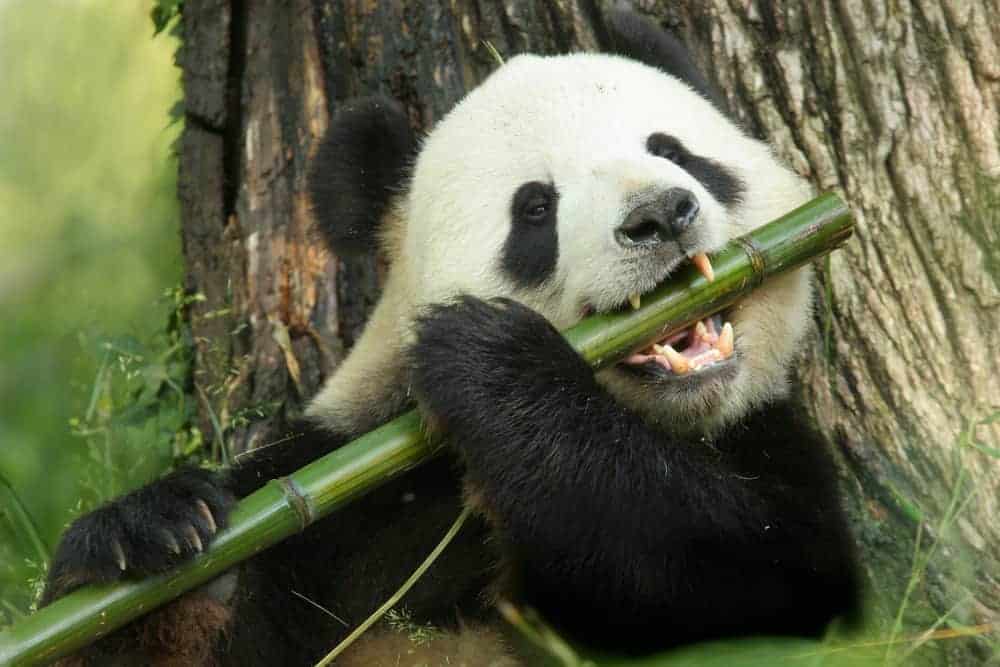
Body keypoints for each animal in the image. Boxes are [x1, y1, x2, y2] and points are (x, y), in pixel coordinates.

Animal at [41, 9, 858, 666]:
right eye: (535, 208)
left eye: (675, 151)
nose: (659, 214)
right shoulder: (345, 495)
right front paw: (148, 538)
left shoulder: (768, 440)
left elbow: (751, 576)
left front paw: (492, 364)